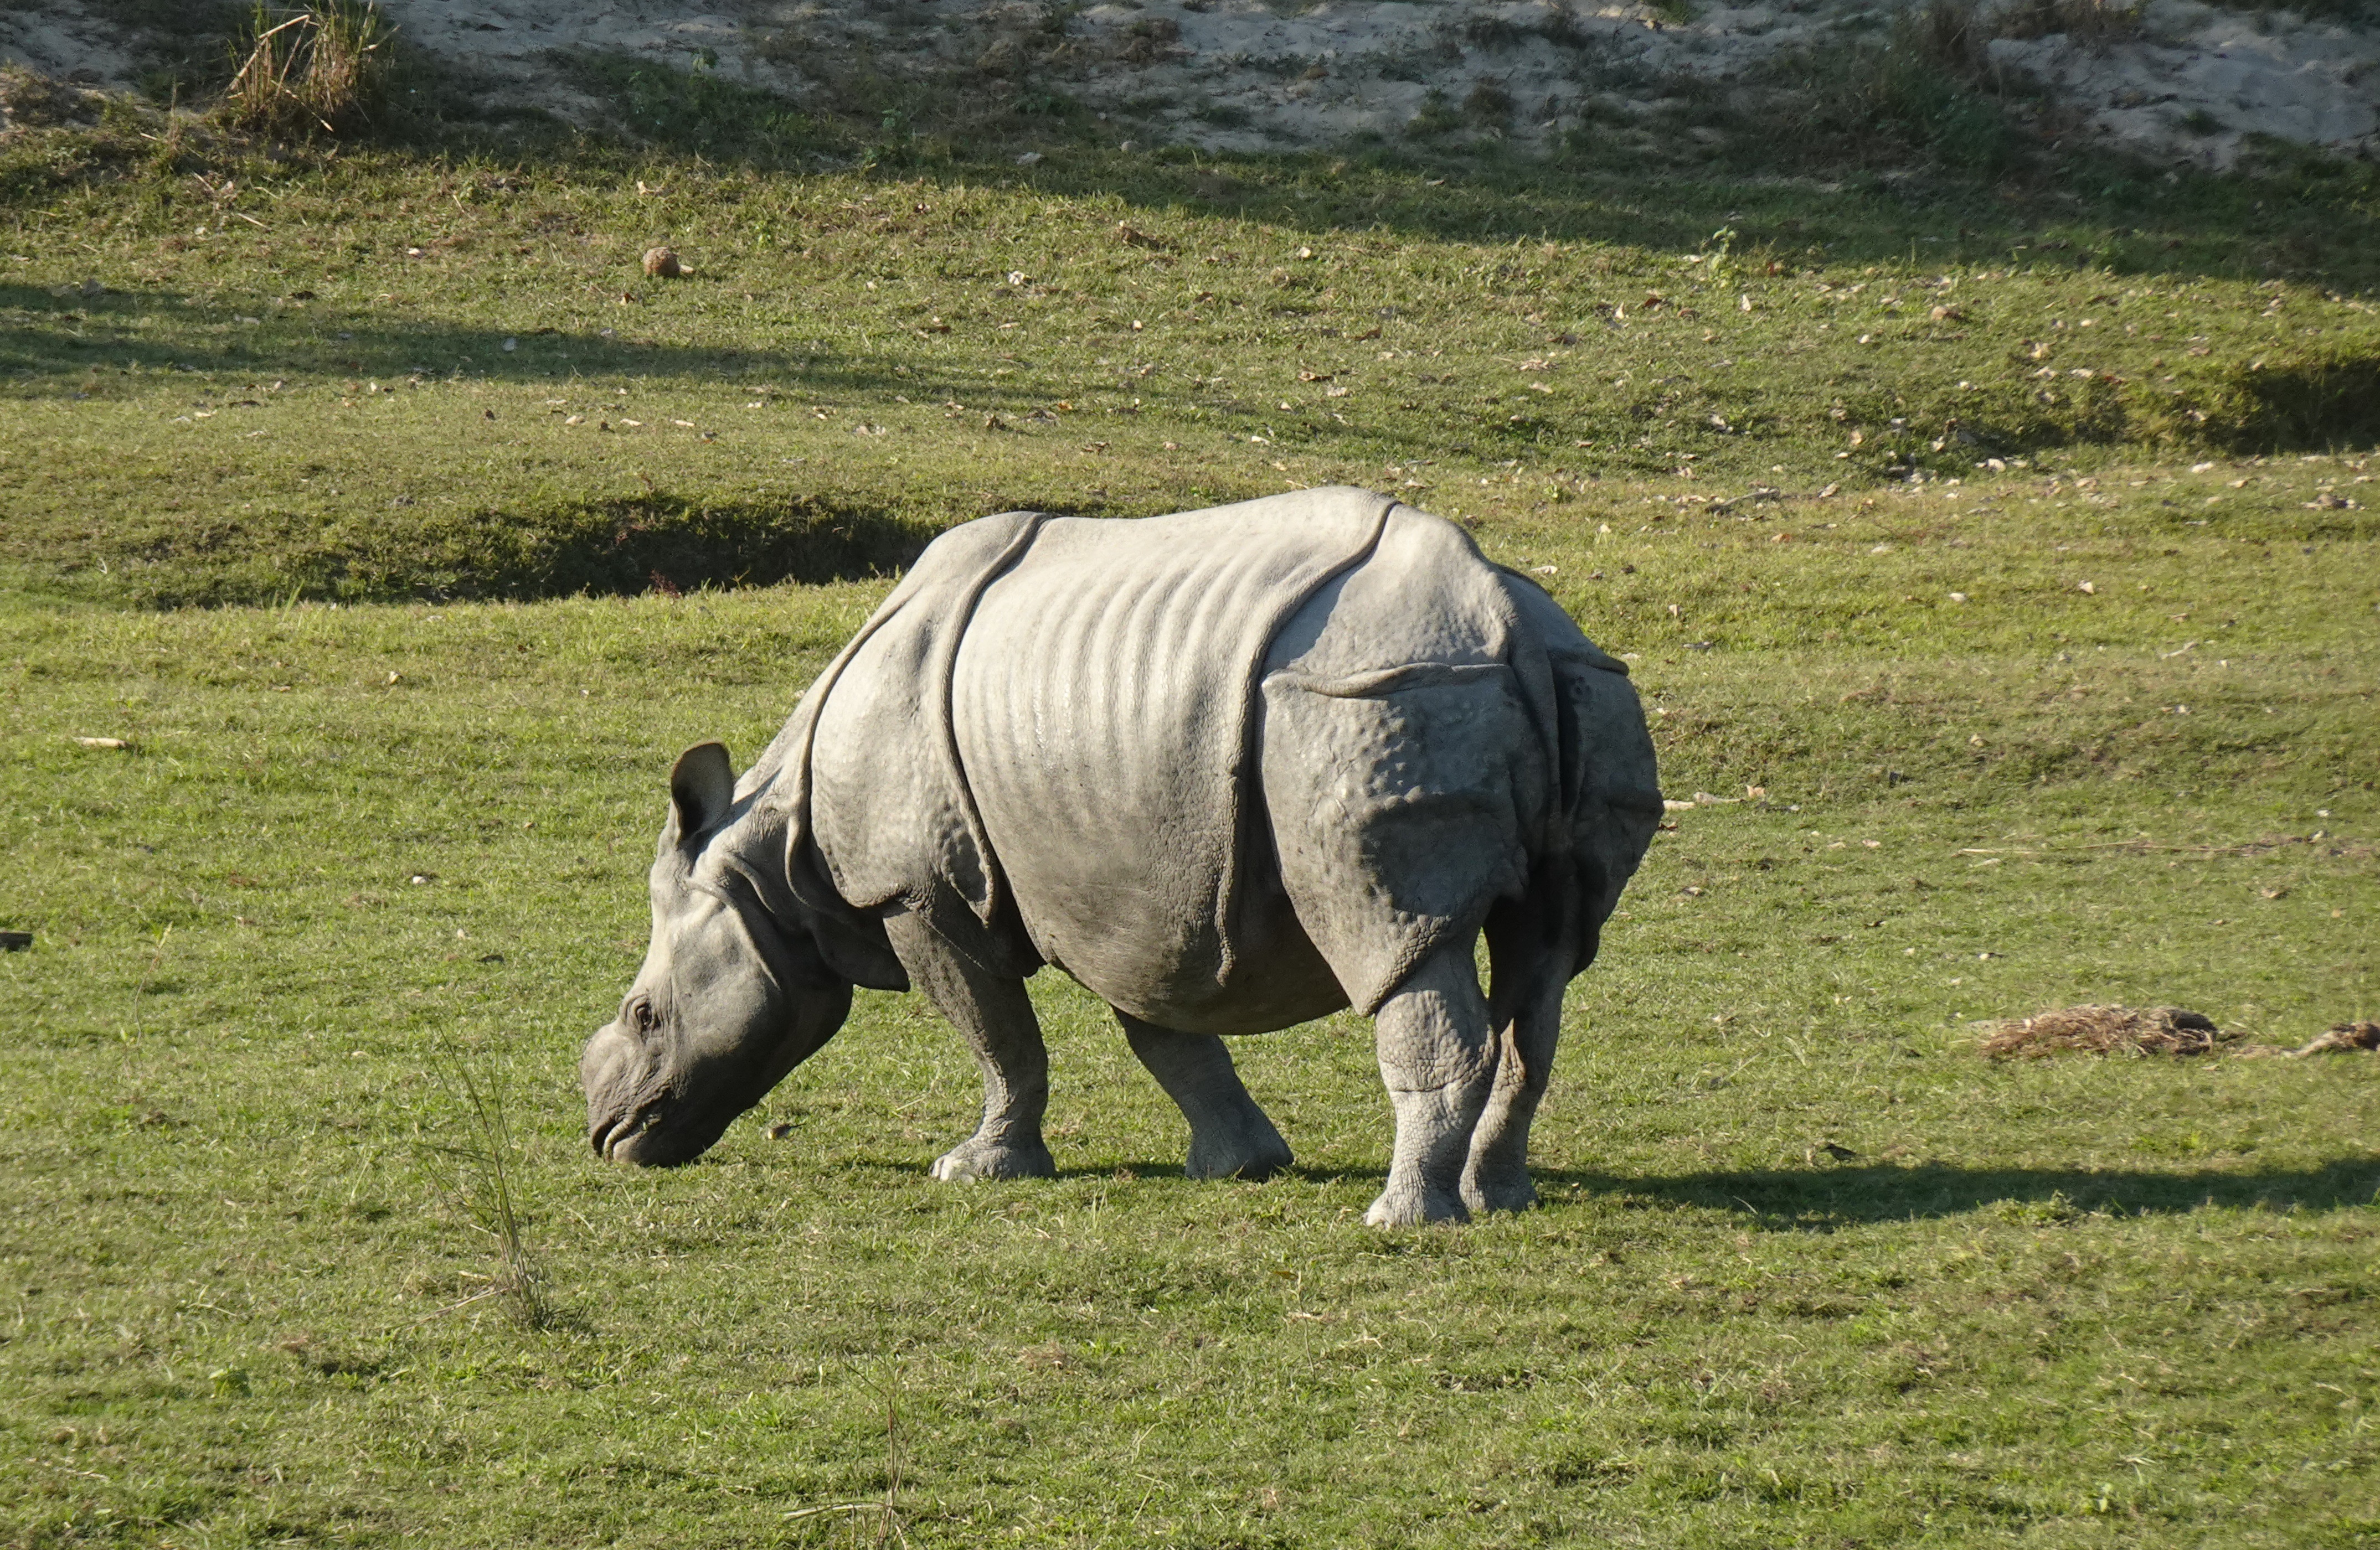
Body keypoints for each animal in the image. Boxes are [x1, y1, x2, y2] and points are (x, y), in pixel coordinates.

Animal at [579, 487, 1662, 1225]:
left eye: (645, 1016)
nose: (605, 1135)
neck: (771, 866)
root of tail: (1504, 620)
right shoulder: (1121, 885)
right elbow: (1161, 1030)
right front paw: (1239, 1164)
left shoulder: (915, 892)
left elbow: (998, 1036)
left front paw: (974, 1168)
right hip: (1579, 683)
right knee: (1546, 967)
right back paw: (1499, 1199)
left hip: (1375, 700)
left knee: (1396, 940)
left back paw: (1403, 1221)